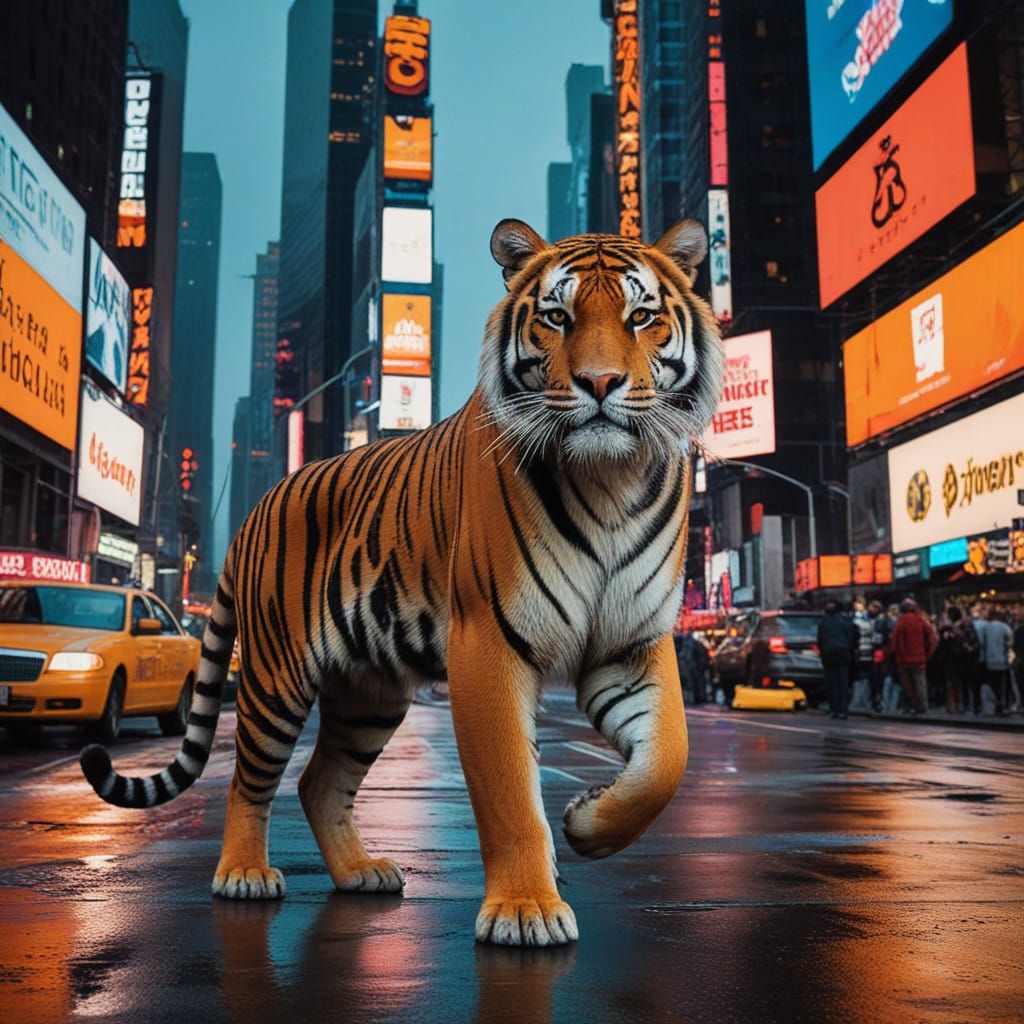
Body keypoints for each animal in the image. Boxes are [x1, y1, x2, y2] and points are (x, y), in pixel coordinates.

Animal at [80, 217, 724, 947]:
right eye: (556, 318)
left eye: (641, 317)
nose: (600, 381)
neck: (612, 478)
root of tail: (258, 507)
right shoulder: (488, 644)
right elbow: (509, 790)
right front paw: (526, 909)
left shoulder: (631, 644)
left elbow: (667, 760)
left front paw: (589, 822)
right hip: (275, 677)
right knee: (249, 778)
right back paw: (243, 875)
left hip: (368, 692)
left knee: (318, 782)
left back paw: (361, 872)